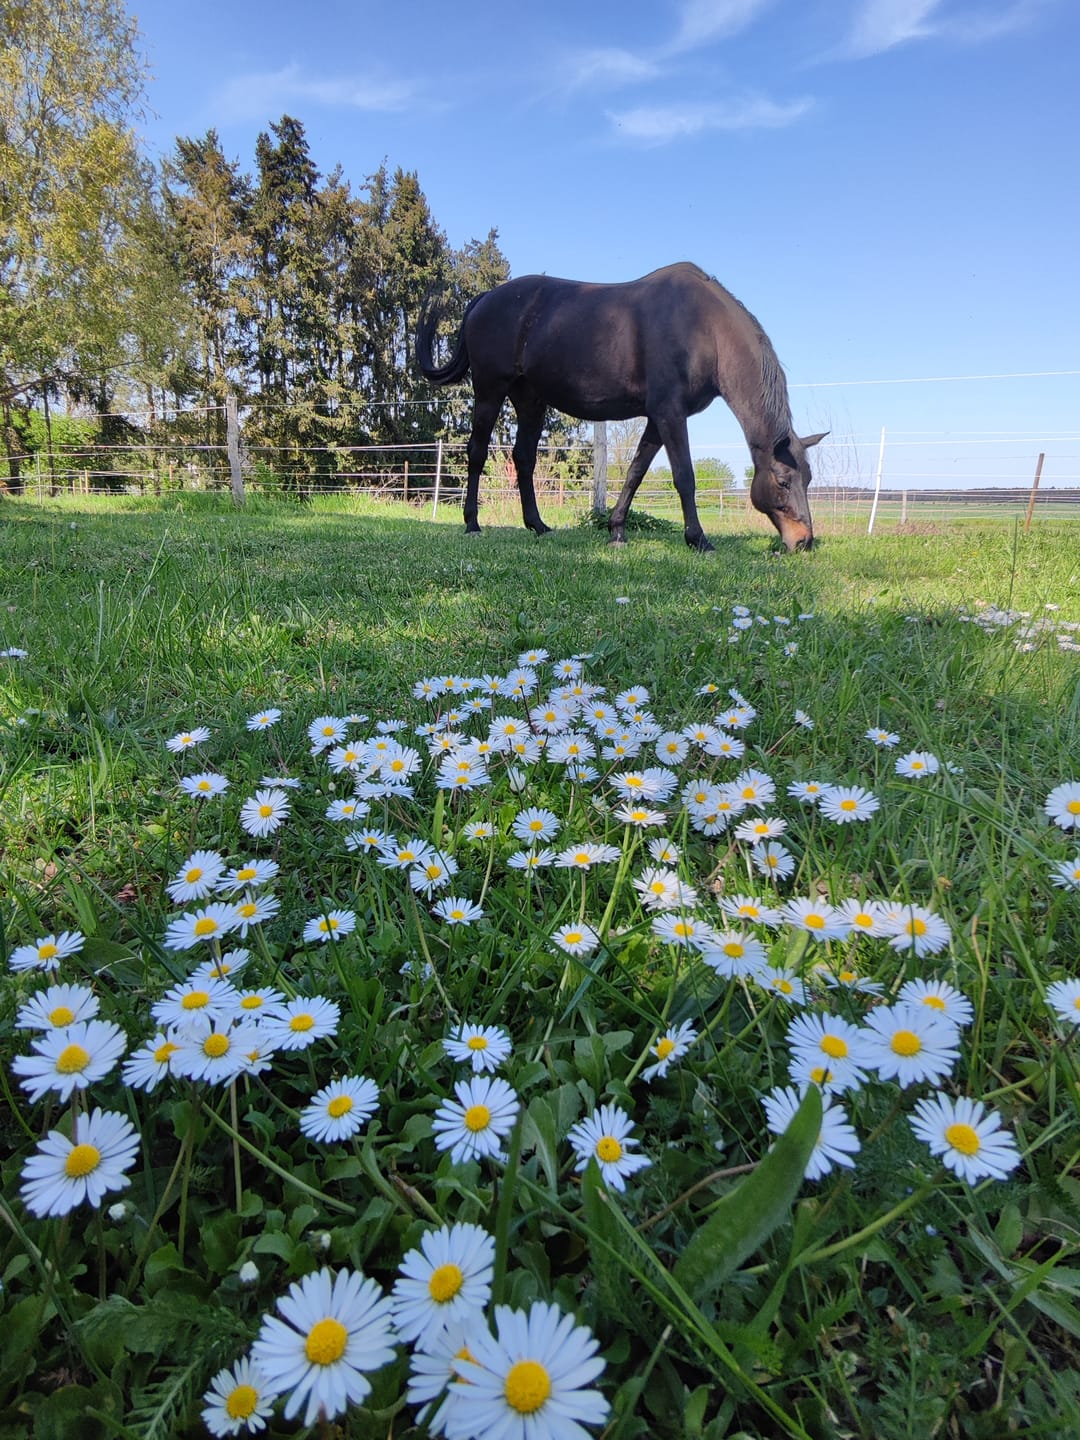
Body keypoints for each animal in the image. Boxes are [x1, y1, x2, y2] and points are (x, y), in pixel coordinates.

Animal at [415, 261, 825, 552]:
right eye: (784, 481)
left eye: (808, 479)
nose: (803, 541)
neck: (702, 329)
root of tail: (485, 298)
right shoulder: (670, 414)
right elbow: (684, 477)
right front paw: (698, 539)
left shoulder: (657, 419)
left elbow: (635, 473)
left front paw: (616, 531)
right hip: (489, 391)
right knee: (477, 452)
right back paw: (472, 524)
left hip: (530, 400)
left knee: (524, 458)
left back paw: (538, 525)